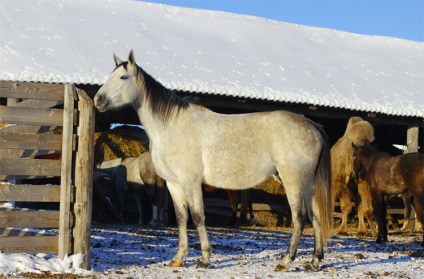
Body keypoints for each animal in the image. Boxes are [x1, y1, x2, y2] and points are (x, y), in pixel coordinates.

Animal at [94, 50, 332, 274]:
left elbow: (198, 217)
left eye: (123, 77)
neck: (172, 127)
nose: (98, 100)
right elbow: (181, 218)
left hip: (293, 181)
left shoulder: (191, 183)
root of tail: (313, 126)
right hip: (308, 184)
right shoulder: (174, 184)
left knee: (300, 218)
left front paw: (205, 259)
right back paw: (314, 262)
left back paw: (285, 261)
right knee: (316, 217)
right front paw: (178, 258)